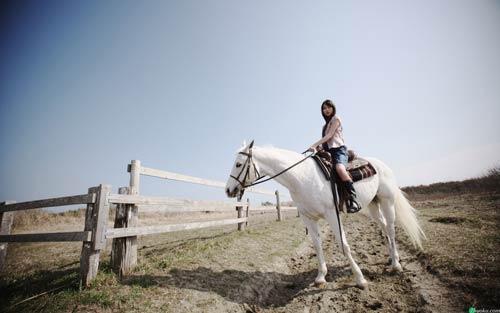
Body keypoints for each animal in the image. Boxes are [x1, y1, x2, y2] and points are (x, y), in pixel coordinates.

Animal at [227, 141, 426, 288]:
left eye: (238, 164)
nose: (228, 190)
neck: (301, 177)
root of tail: (382, 165)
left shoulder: (332, 214)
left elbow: (343, 245)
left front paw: (360, 279)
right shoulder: (308, 218)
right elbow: (317, 245)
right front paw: (321, 277)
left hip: (387, 201)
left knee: (391, 229)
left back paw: (396, 265)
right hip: (373, 205)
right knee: (384, 227)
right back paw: (392, 258)